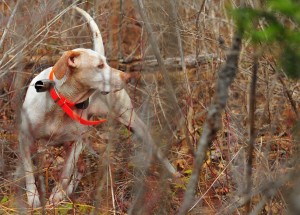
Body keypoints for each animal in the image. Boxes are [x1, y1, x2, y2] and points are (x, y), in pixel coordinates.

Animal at [18, 7, 176, 208]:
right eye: (100, 65)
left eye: (106, 63)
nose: (128, 77)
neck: (63, 104)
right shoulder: (26, 139)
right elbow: (29, 172)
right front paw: (33, 198)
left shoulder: (76, 143)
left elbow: (65, 173)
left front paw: (57, 195)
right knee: (79, 168)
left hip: (131, 121)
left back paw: (175, 175)